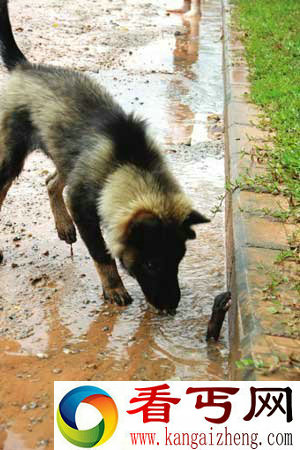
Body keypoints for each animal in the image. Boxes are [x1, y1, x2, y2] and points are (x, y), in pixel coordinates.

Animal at [0, 0, 210, 312]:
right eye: (151, 264)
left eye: (178, 260)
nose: (171, 307)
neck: (130, 163)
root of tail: (25, 67)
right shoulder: (82, 206)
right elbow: (102, 253)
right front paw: (114, 289)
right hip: (12, 156)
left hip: (67, 156)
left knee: (51, 181)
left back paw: (64, 226)